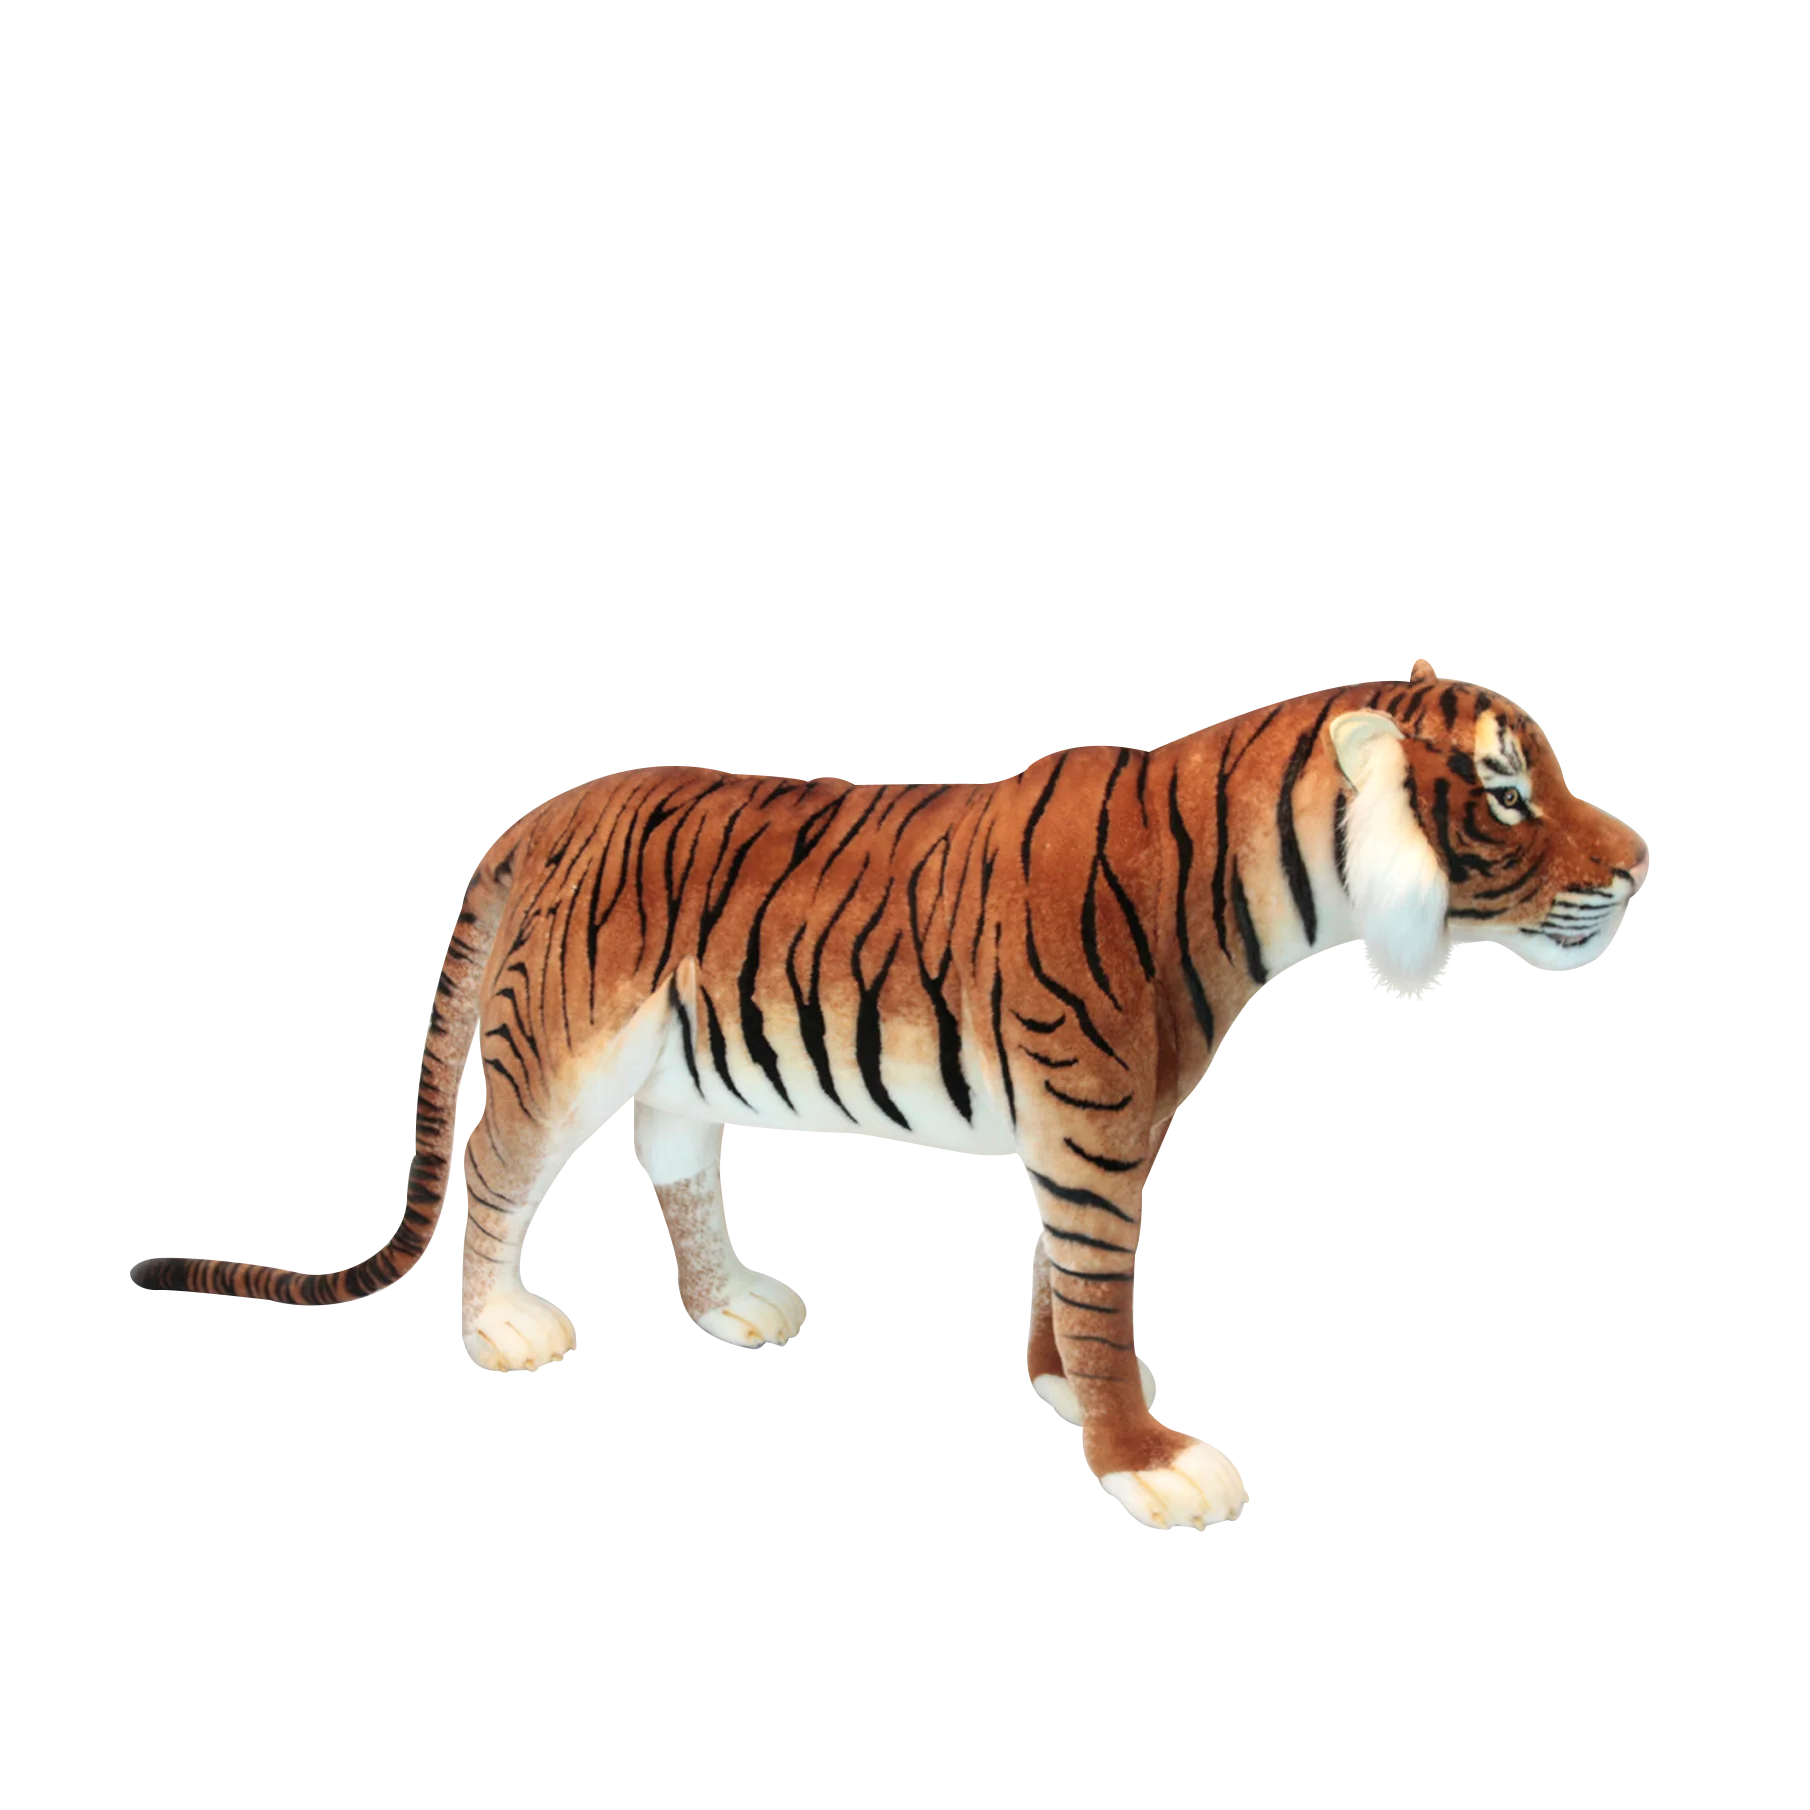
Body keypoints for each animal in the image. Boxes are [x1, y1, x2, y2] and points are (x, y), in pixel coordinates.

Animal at [130, 658, 1650, 1531]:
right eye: (1507, 794)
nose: (1642, 865)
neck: (1276, 886)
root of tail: (553, 805)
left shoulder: (1100, 1122)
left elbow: (1065, 1279)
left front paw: (1053, 1389)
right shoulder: (1096, 1116)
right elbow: (1103, 1291)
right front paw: (1141, 1456)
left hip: (678, 1061)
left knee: (678, 1163)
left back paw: (732, 1303)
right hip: (563, 1040)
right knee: (498, 1157)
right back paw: (499, 1325)